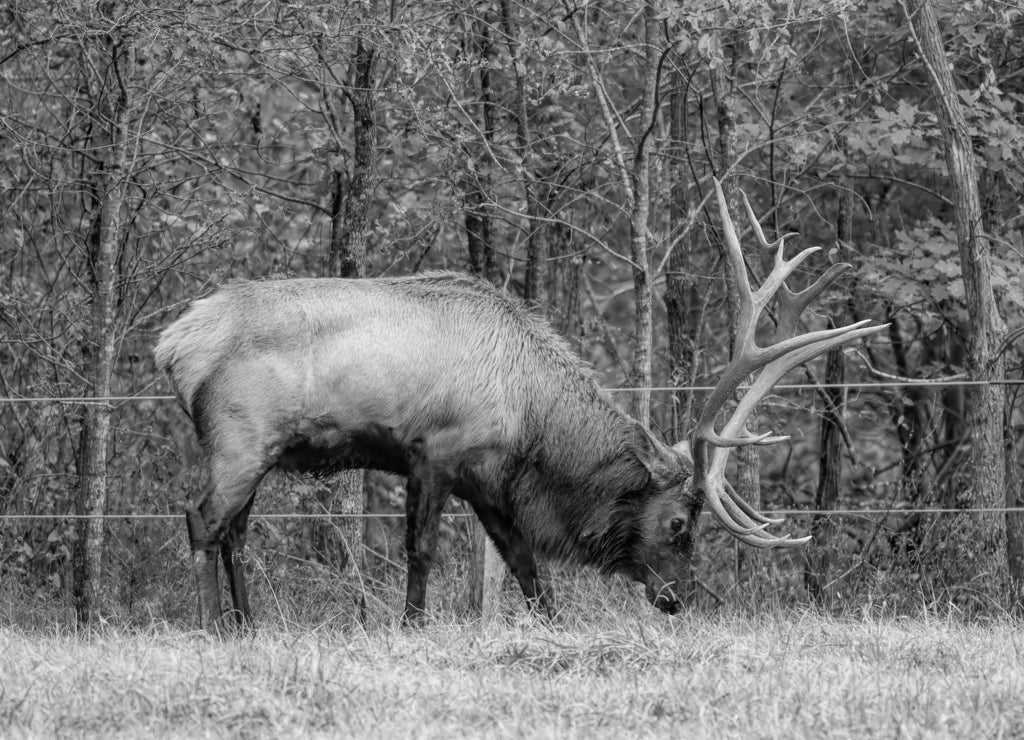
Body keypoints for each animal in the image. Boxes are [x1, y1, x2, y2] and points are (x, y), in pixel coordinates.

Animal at [155, 178, 884, 626]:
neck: (534, 420)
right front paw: (411, 627)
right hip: (238, 438)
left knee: (234, 531)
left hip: (261, 451)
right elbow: (421, 551)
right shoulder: (434, 452)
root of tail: (173, 343)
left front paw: (552, 629)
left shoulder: (488, 477)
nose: (677, 600)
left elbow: (526, 565)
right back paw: (214, 626)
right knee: (200, 519)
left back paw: (249, 626)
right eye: (679, 522)